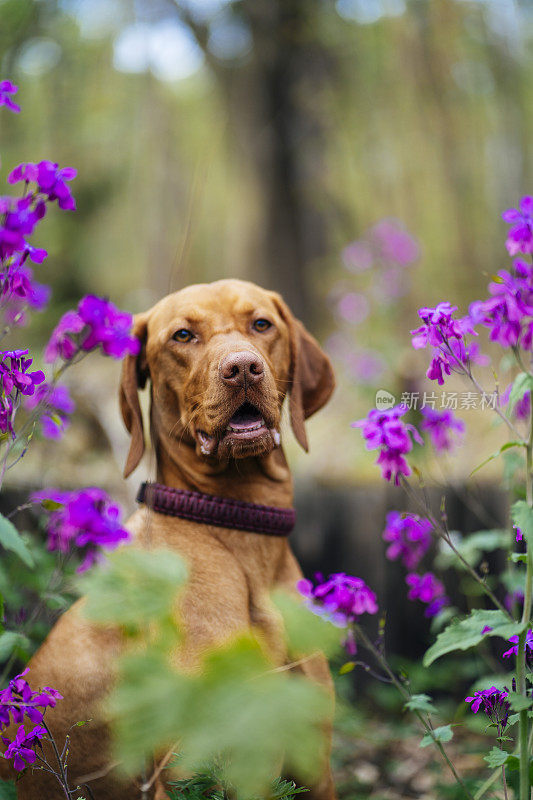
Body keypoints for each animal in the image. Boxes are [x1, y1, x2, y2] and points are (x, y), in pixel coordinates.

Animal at [2, 280, 336, 800]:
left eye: (262, 324)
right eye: (182, 335)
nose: (243, 367)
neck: (241, 531)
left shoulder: (317, 769)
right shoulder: (187, 773)